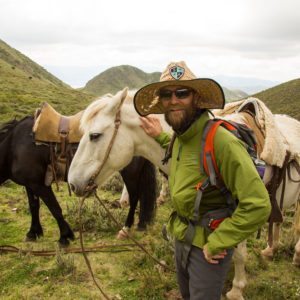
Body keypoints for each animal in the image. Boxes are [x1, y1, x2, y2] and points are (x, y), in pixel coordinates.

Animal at [0, 116, 158, 245]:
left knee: (134, 197)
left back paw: (125, 230)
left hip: (130, 173)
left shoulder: (39, 185)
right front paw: (33, 233)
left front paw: (65, 236)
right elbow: (34, 206)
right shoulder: (30, 184)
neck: (13, 146)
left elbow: (54, 208)